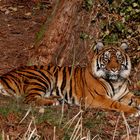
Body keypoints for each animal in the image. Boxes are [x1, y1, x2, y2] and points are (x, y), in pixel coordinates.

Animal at [0, 42, 139, 116]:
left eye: (119, 58)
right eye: (107, 59)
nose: (114, 69)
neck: (116, 81)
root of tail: (6, 75)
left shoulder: (125, 94)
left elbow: (136, 98)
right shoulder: (97, 98)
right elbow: (115, 103)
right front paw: (133, 110)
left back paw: (56, 99)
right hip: (42, 77)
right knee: (29, 99)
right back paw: (52, 102)